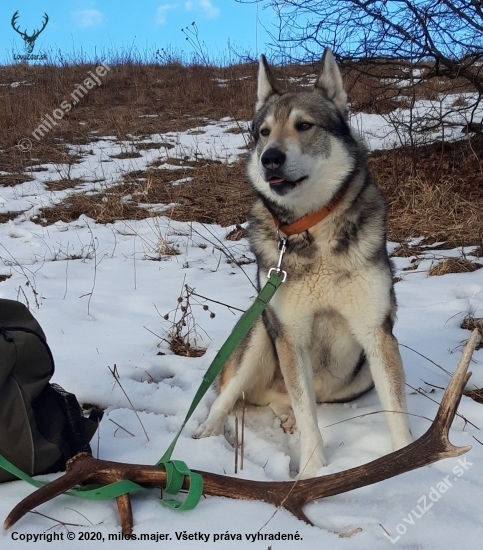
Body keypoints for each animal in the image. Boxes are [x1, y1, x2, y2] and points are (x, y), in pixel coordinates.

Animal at [195, 48, 414, 478]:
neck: (312, 230)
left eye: (304, 125)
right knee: (229, 396)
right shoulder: (289, 334)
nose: (270, 159)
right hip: (261, 333)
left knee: (286, 401)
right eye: (263, 132)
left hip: (356, 375)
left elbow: (395, 411)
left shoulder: (376, 333)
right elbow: (307, 414)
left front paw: (407, 462)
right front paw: (314, 471)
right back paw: (207, 431)